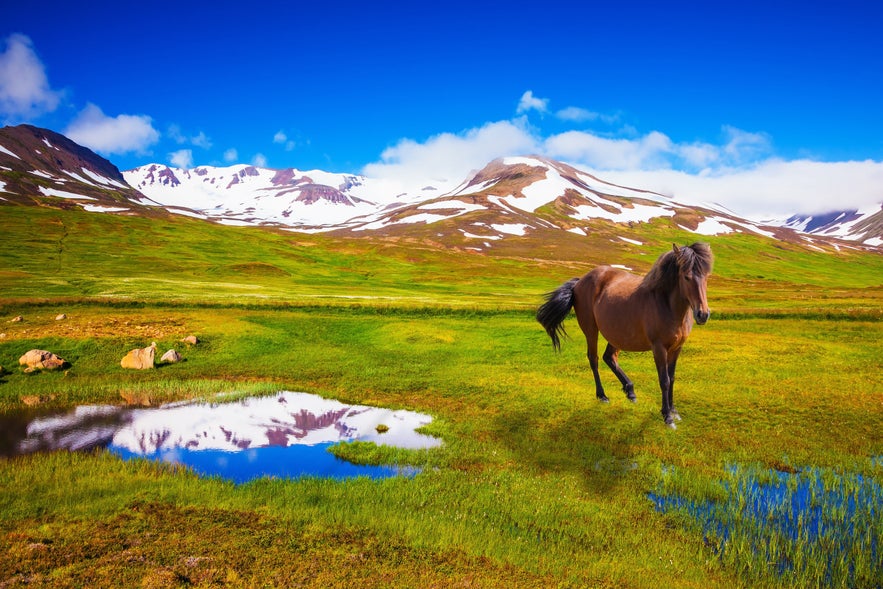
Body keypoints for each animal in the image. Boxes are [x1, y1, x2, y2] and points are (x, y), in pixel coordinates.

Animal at [536, 241, 716, 430]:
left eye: (706, 277)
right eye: (686, 277)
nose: (703, 314)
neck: (666, 304)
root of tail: (580, 282)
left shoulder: (676, 348)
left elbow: (672, 377)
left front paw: (674, 411)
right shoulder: (659, 348)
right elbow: (664, 380)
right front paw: (667, 417)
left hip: (617, 335)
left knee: (609, 357)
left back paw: (630, 391)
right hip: (591, 330)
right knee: (594, 359)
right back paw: (602, 395)